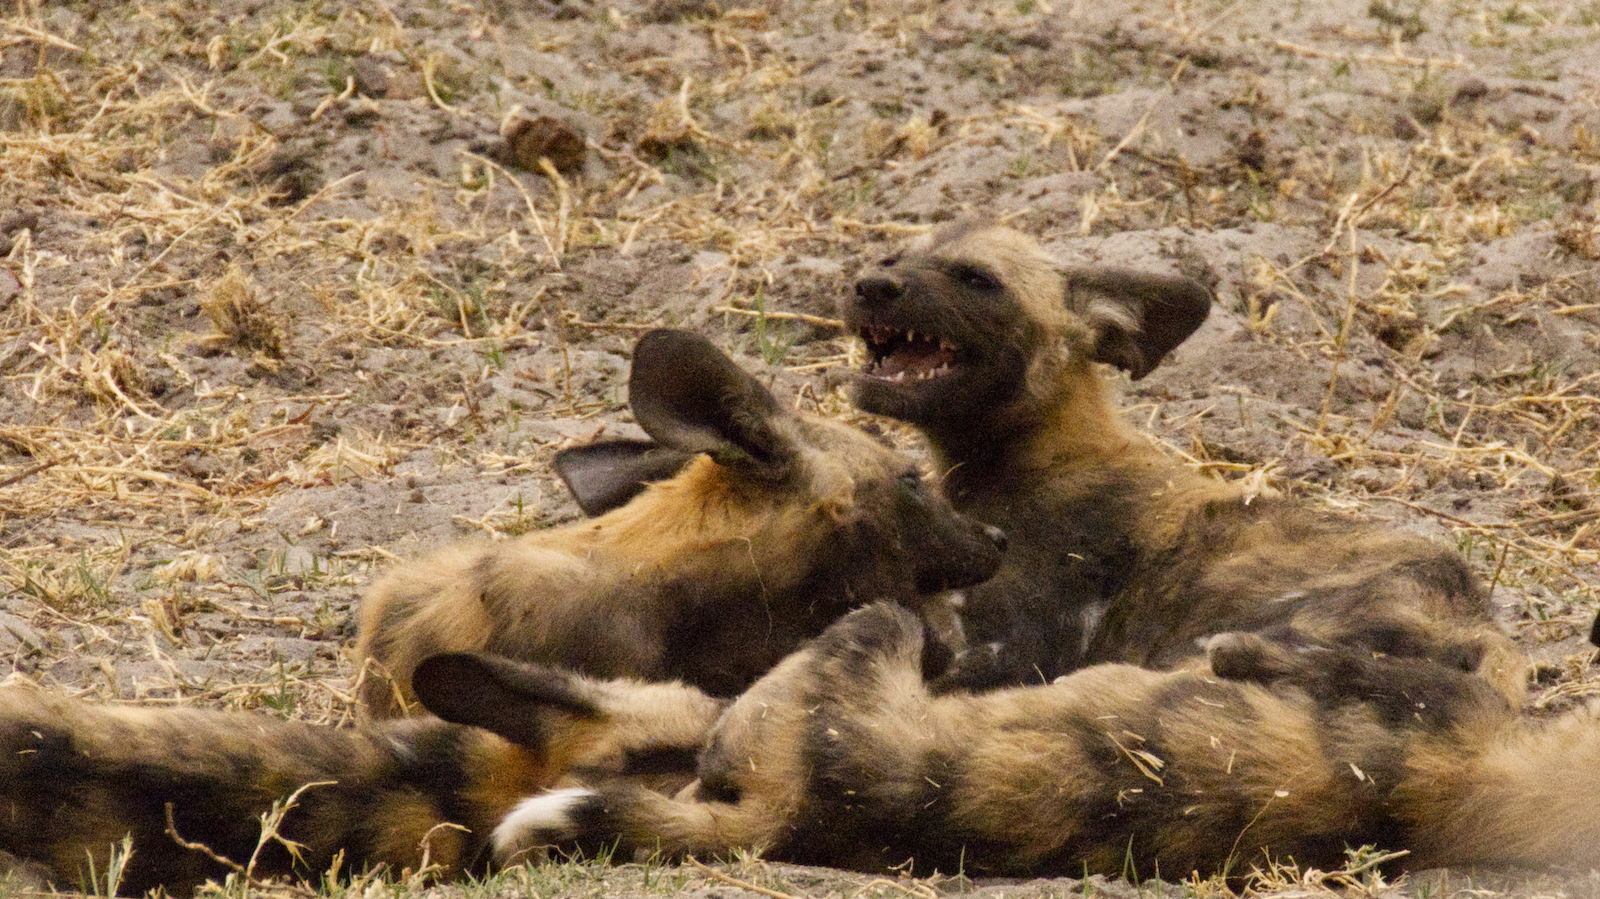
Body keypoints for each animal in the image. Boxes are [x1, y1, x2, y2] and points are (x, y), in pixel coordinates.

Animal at [844, 220, 1516, 697]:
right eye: (890, 259)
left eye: (977, 279)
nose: (871, 286)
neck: (1029, 455)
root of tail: (1482, 628)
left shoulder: (1012, 643)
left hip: (1212, 648)